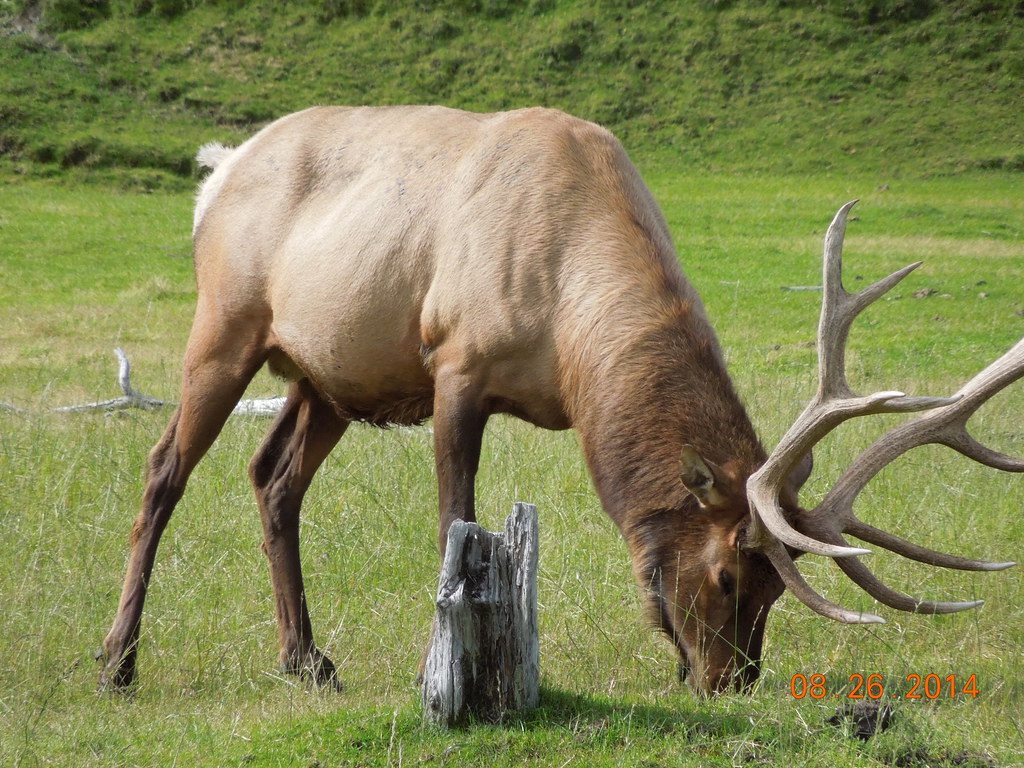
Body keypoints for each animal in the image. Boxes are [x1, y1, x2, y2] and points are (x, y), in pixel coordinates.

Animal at [98, 105, 1023, 696]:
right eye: (728, 573)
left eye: (774, 591)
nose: (732, 683)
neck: (571, 330)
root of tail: (214, 173)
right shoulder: (456, 363)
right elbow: (455, 523)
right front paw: (442, 670)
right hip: (225, 323)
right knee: (163, 470)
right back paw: (118, 662)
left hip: (328, 377)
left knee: (273, 478)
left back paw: (306, 660)